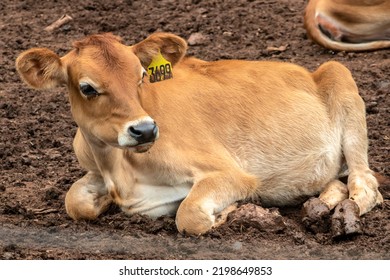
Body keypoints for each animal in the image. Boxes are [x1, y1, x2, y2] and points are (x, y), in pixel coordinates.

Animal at [16, 32, 384, 235]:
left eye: (141, 76)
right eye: (87, 87)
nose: (145, 129)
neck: (119, 169)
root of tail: (308, 71)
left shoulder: (230, 174)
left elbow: (189, 216)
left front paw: (228, 213)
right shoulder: (92, 167)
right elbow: (74, 201)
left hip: (339, 75)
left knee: (365, 186)